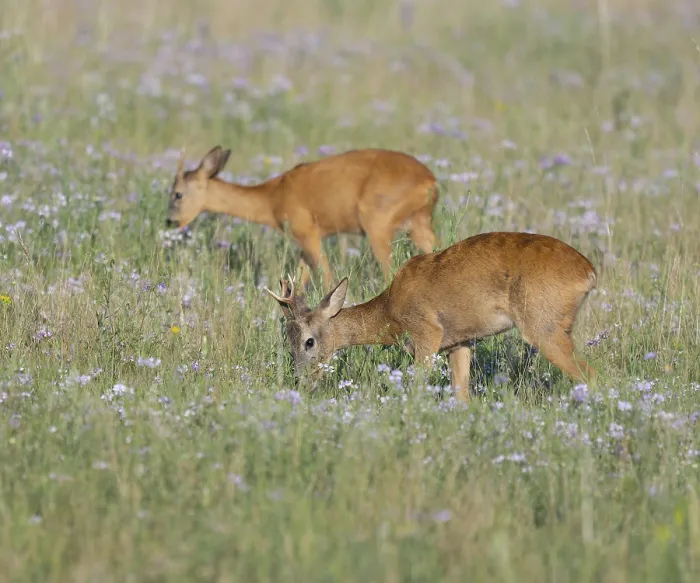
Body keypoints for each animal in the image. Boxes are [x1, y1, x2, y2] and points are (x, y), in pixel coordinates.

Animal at [166, 145, 439, 290]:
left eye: (177, 193)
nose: (170, 221)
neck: (273, 195)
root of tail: (429, 180)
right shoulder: (301, 244)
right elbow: (296, 280)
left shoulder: (308, 232)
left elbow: (327, 279)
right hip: (419, 225)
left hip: (378, 226)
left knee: (390, 272)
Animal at [266, 231, 598, 401]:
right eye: (287, 342)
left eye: (309, 341)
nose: (301, 383)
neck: (391, 310)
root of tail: (589, 273)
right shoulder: (459, 342)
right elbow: (461, 394)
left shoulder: (427, 332)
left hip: (544, 324)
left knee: (589, 373)